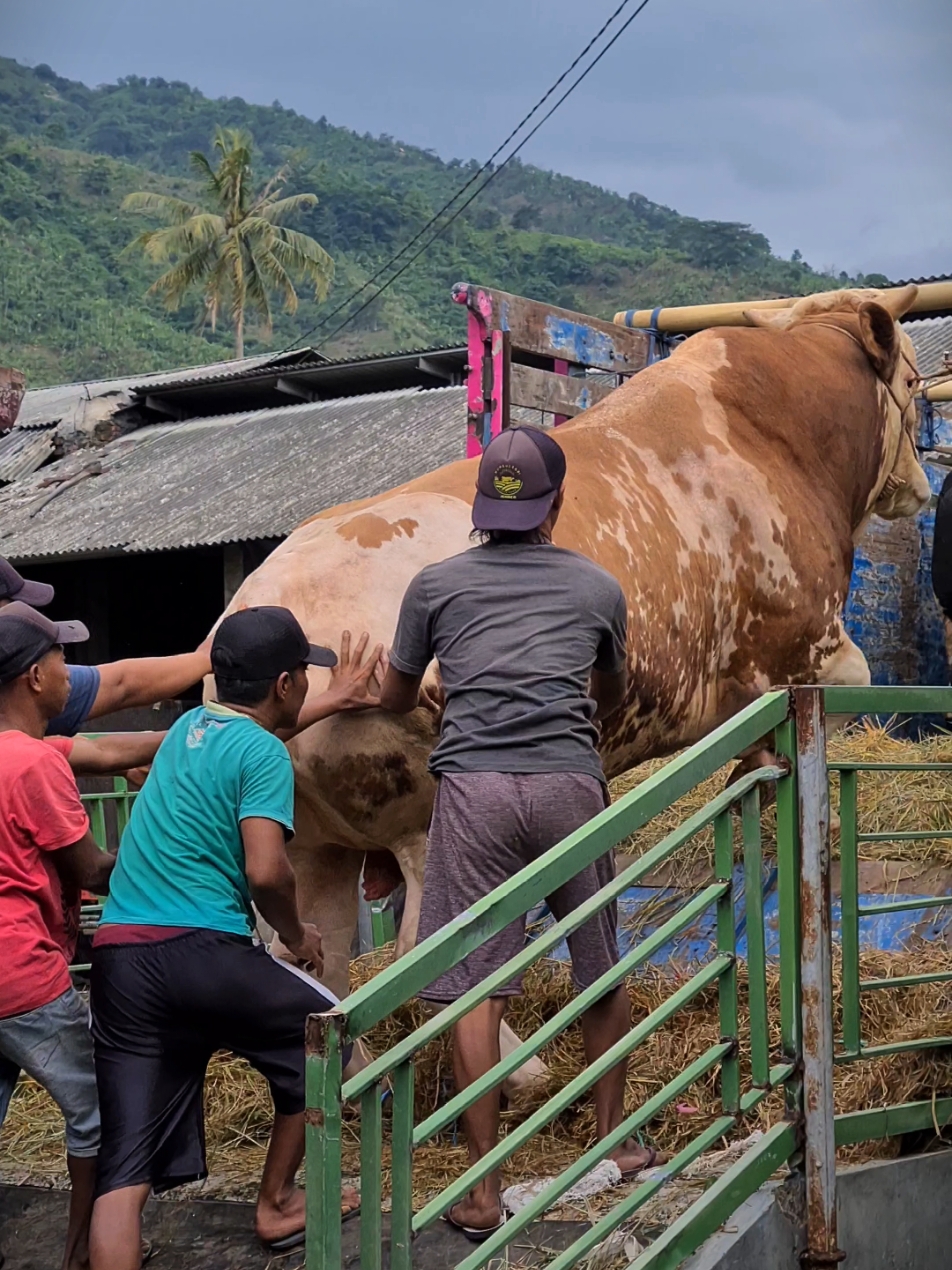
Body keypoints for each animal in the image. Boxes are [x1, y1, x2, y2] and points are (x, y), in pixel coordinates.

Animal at [222, 288, 924, 1021]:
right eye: (913, 382)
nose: (920, 484)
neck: (777, 432)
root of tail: (271, 605)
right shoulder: (805, 645)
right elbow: (845, 693)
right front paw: (754, 776)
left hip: (313, 845)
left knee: (316, 958)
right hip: (433, 823)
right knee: (426, 954)